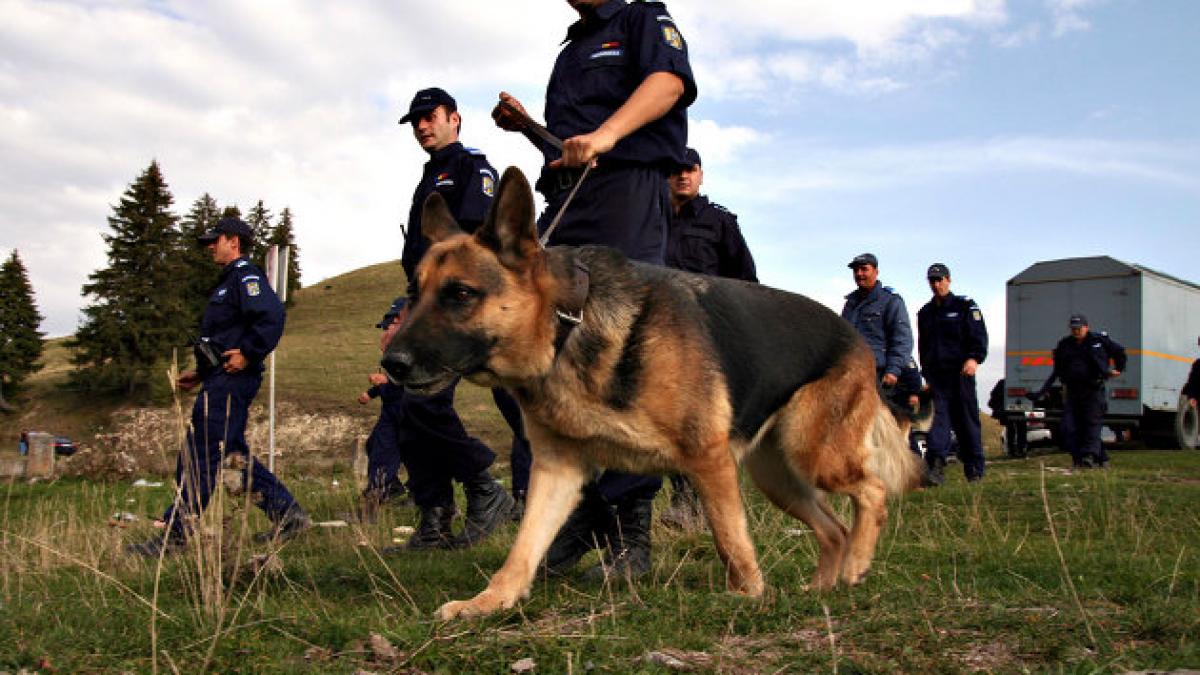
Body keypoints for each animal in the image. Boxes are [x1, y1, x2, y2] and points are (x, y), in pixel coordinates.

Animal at [381, 166, 916, 614]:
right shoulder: (556, 471)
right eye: (413, 293)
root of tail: (853, 335)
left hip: (813, 453)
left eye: (460, 294)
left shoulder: (708, 459)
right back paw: (823, 587)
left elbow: (730, 538)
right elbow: (524, 546)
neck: (568, 325)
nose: (391, 364)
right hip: (779, 475)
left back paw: (856, 566)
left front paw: (747, 595)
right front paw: (490, 602)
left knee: (872, 492)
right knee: (834, 528)